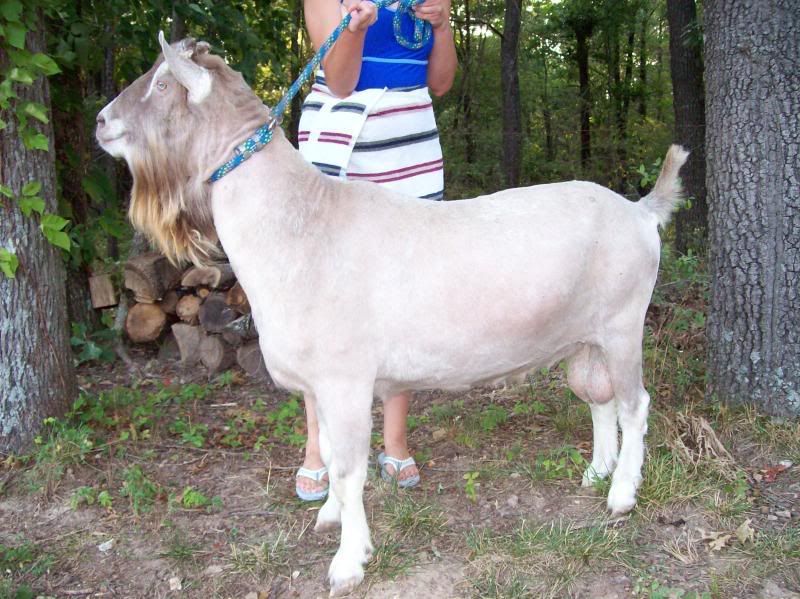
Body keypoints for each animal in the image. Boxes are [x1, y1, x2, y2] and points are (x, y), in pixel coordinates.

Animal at [96, 34, 687, 596]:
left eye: (163, 85)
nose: (102, 122)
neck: (303, 222)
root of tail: (640, 211)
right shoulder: (320, 385)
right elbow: (327, 452)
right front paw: (329, 517)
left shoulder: (345, 379)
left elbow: (348, 468)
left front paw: (348, 563)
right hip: (583, 338)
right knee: (600, 398)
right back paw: (597, 472)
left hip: (623, 324)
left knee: (635, 404)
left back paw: (622, 495)